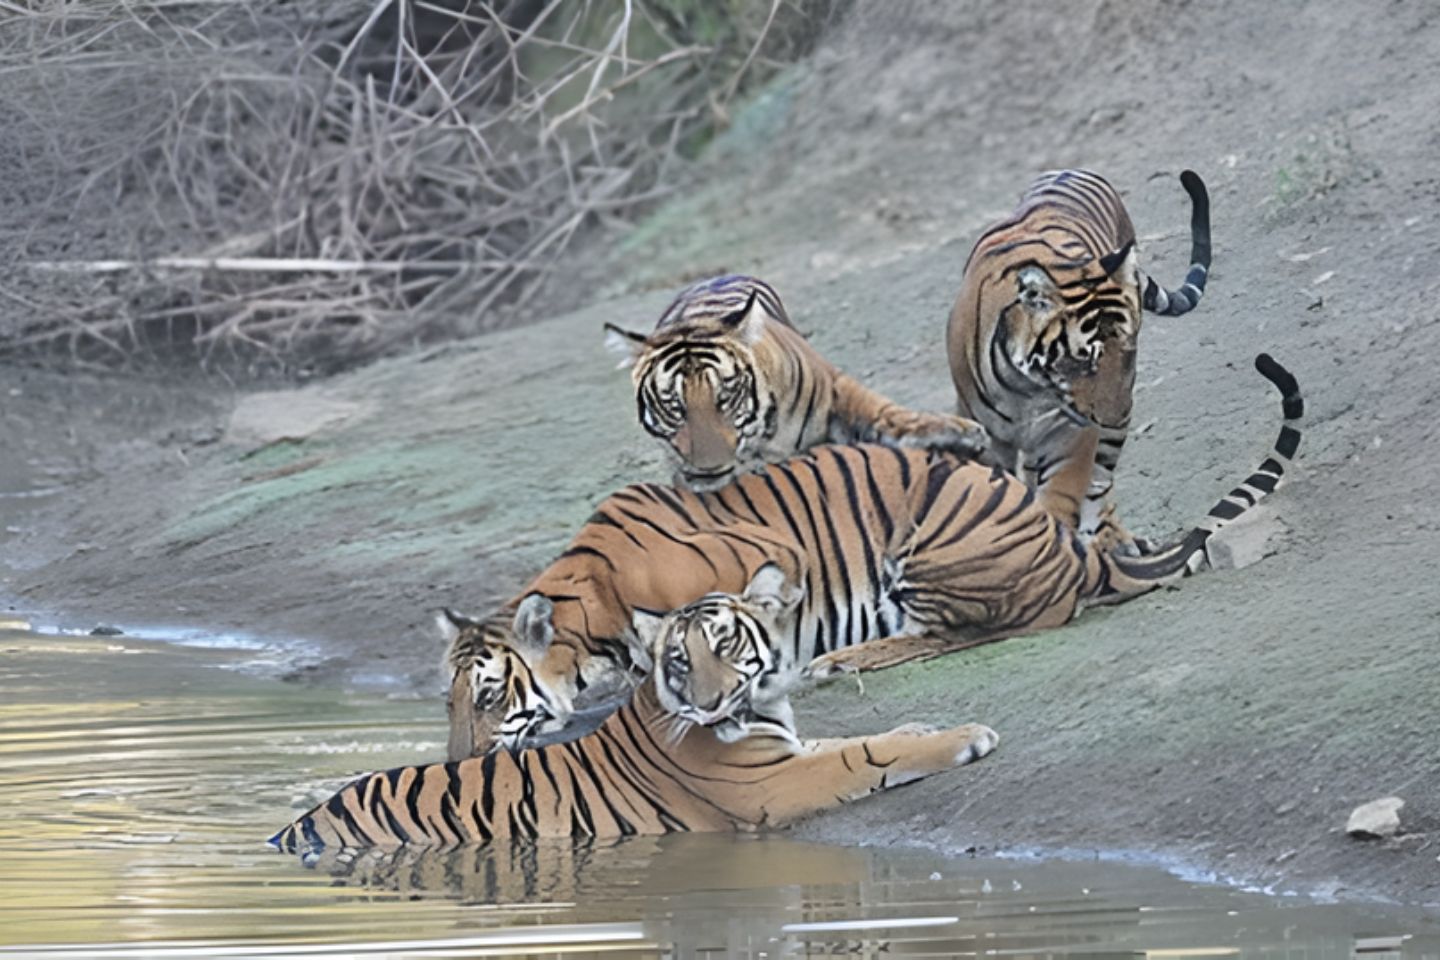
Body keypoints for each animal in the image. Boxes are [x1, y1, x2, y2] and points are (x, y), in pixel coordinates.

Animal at [445, 354, 1300, 757]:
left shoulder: (764, 555)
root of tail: (1065, 547)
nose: (457, 757)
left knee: (982, 629)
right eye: (448, 702)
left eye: (487, 697)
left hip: (928, 546)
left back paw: (843, 659)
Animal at [604, 273, 988, 491]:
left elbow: (882, 412)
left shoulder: (834, 387)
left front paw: (959, 433)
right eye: (674, 407)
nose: (707, 465)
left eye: (725, 398)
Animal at [946, 168, 1212, 555]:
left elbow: (1061, 496)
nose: (1116, 417)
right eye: (1085, 360)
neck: (1024, 388)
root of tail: (1069, 171)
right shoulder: (990, 438)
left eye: (1129, 351)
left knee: (1097, 487)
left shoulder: (1070, 435)